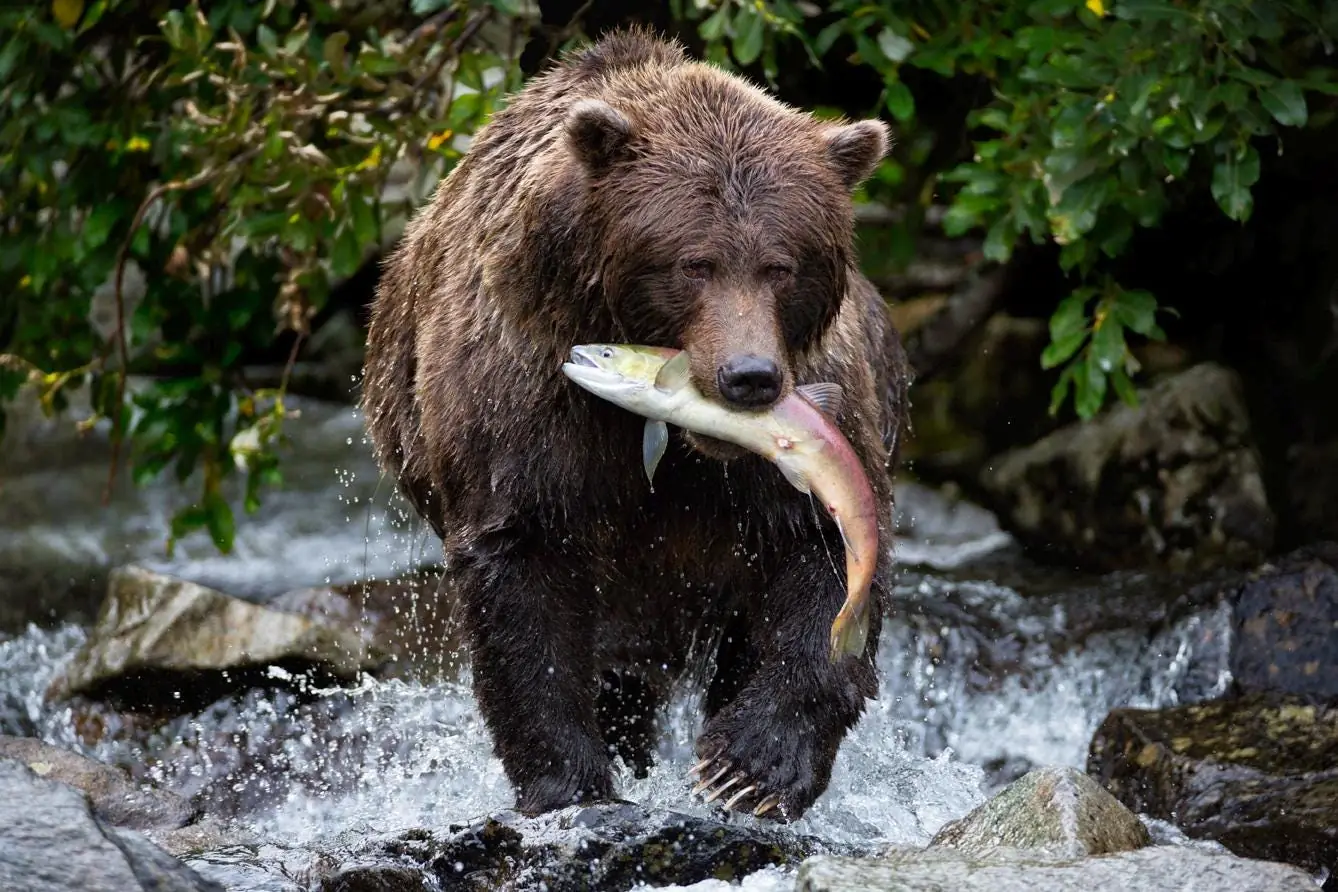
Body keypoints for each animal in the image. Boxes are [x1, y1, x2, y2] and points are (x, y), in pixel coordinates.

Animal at [359, 26, 911, 822]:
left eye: (781, 264)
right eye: (694, 262)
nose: (750, 377)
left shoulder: (814, 435)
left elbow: (819, 554)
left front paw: (748, 768)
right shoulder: (526, 403)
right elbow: (524, 578)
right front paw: (569, 781)